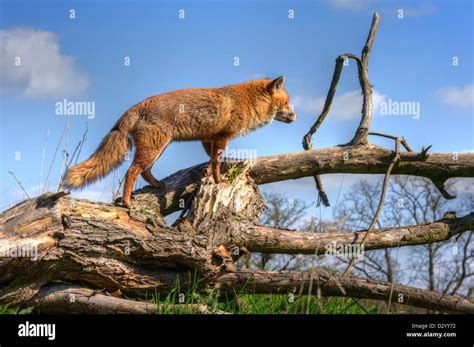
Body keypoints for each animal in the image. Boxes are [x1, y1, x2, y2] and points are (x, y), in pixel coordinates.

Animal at [63, 77, 296, 207]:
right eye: (286, 104)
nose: (295, 116)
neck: (248, 101)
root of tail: (138, 104)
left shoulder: (208, 138)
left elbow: (211, 160)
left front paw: (210, 174)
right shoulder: (222, 136)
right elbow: (216, 163)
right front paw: (219, 180)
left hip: (158, 148)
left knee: (145, 171)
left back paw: (156, 185)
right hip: (154, 147)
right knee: (131, 172)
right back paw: (127, 202)